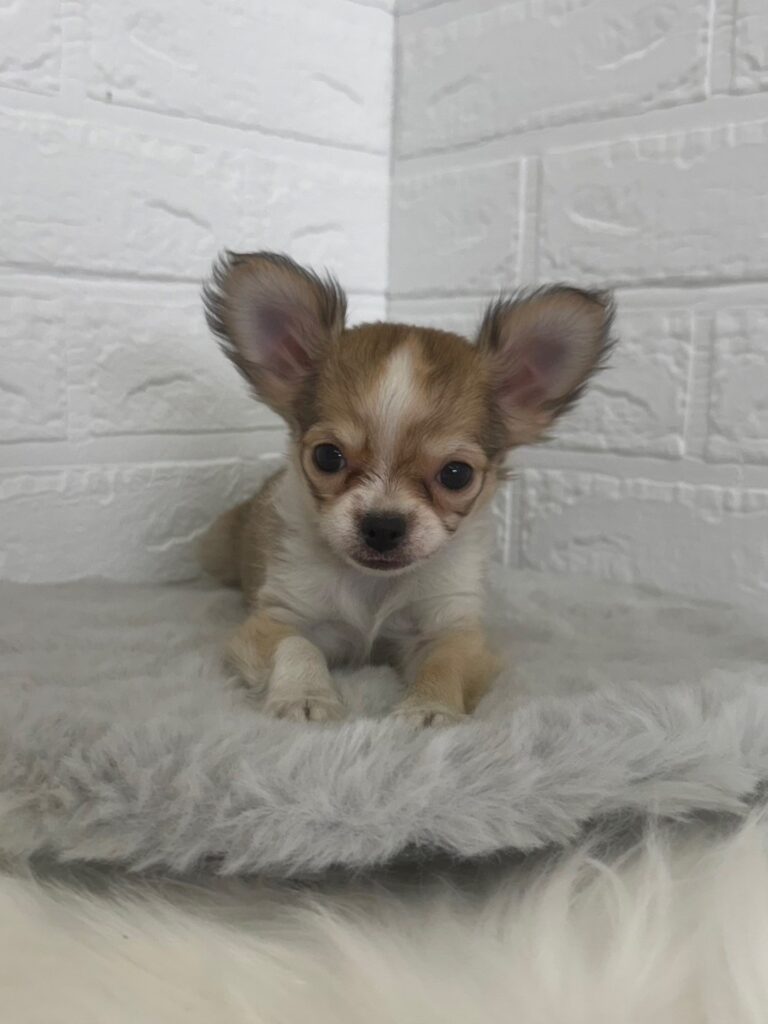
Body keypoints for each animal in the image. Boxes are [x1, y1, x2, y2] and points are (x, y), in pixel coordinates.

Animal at [198, 252, 614, 726]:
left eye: (456, 474)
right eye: (327, 457)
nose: (382, 526)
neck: (373, 587)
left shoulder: (450, 629)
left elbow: (444, 663)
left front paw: (429, 708)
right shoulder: (276, 619)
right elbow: (298, 645)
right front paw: (305, 696)